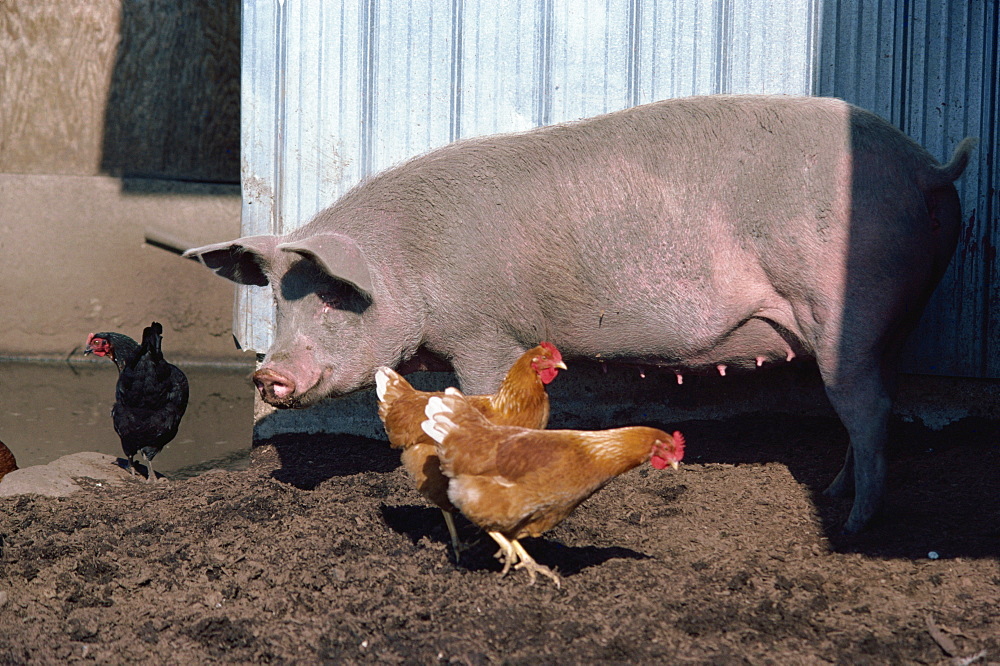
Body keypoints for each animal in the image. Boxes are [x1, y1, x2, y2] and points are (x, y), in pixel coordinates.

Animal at [184, 93, 972, 532]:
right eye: (277, 302)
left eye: (332, 297)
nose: (269, 375)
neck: (411, 260)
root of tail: (929, 167)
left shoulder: (485, 330)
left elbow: (479, 399)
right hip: (894, 320)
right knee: (871, 405)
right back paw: (839, 495)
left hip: (847, 312)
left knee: (867, 408)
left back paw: (853, 526)